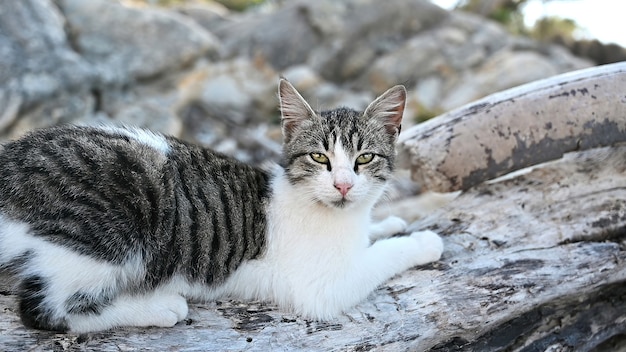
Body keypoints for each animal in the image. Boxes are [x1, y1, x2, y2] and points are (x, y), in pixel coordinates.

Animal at [0, 79, 442, 332]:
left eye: (364, 158)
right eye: (319, 158)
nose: (344, 185)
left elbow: (371, 236)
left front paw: (387, 223)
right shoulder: (324, 288)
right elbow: (381, 256)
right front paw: (422, 241)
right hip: (106, 232)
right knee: (45, 310)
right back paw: (159, 308)